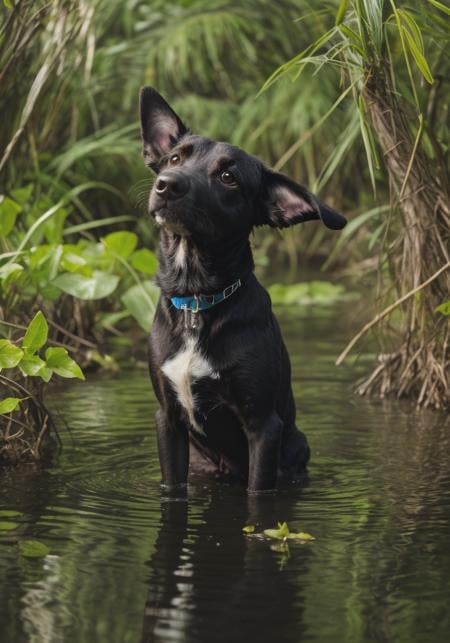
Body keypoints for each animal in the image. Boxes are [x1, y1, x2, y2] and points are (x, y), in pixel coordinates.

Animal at [139, 87, 346, 494]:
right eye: (175, 157)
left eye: (227, 176)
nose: (167, 183)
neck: (197, 299)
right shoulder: (167, 419)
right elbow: (173, 486)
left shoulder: (263, 426)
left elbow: (257, 494)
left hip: (294, 449)